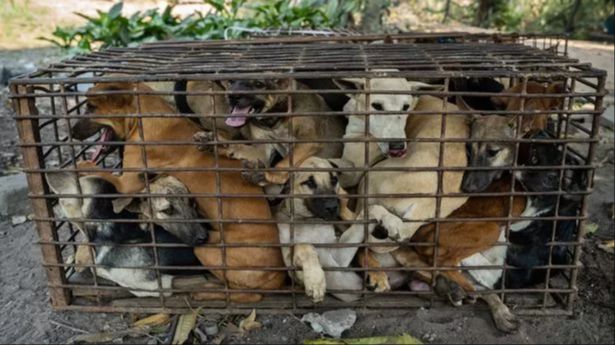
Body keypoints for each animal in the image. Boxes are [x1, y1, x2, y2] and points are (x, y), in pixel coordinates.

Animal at [75, 81, 286, 300]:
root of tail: (279, 277)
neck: (147, 117)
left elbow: (93, 168)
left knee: (244, 294)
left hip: (205, 250)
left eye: (90, 107)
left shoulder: (127, 183)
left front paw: (80, 164)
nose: (72, 133)